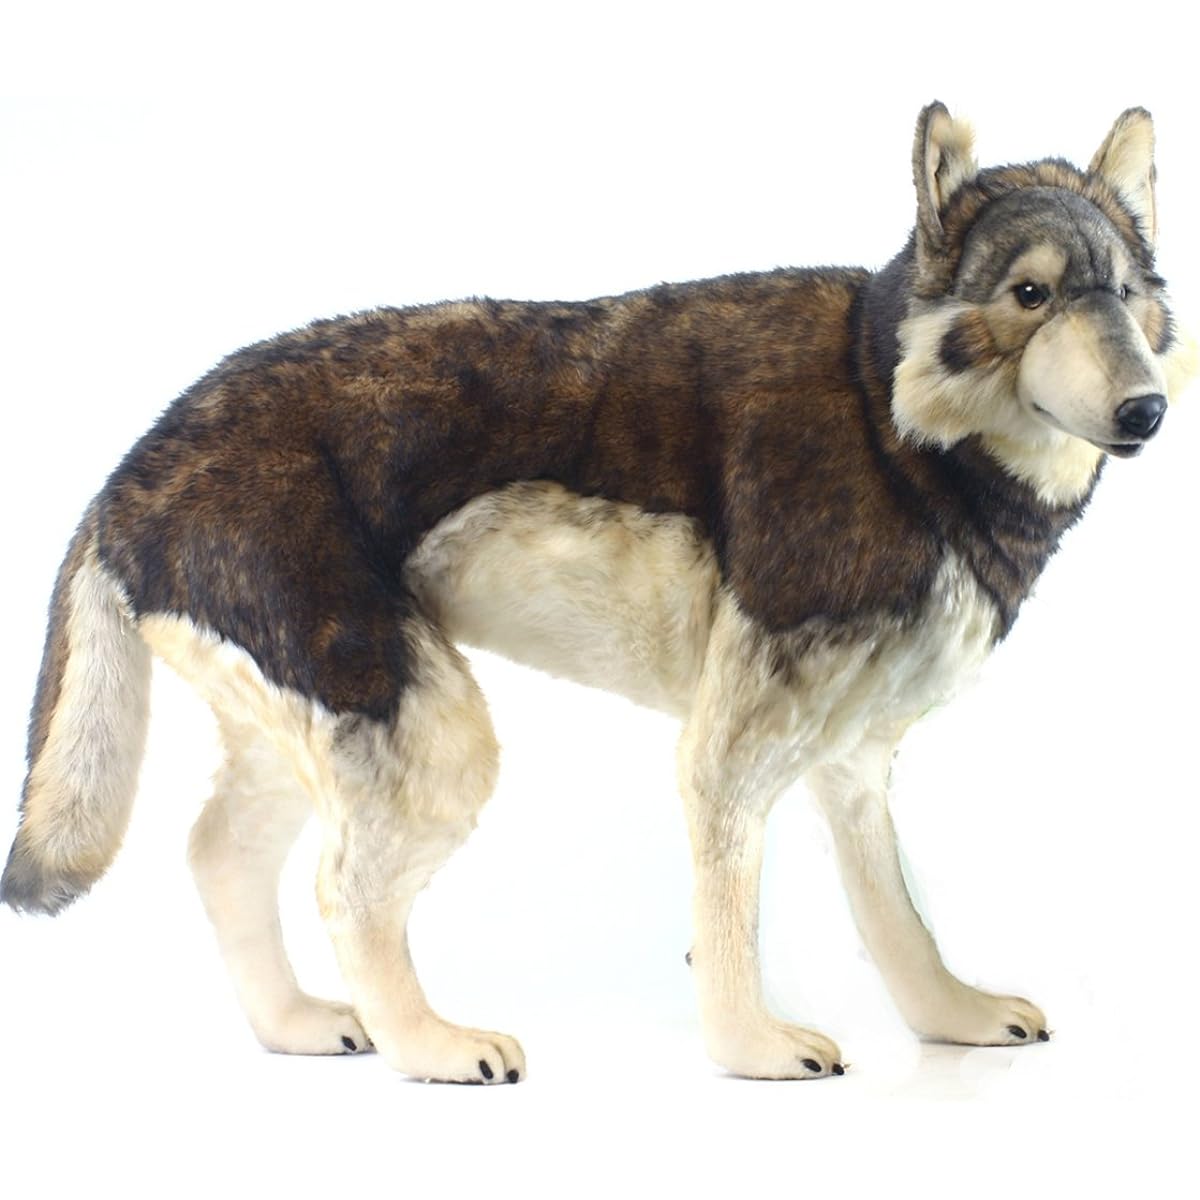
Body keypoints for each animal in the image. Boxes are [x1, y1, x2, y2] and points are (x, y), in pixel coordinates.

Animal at [2, 104, 1192, 1083]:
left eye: (1127, 296)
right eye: (1030, 295)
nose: (1146, 413)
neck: (887, 418)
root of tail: (125, 472)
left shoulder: (853, 764)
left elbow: (895, 916)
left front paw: (952, 1019)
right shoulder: (727, 755)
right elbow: (733, 920)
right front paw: (749, 1050)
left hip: (324, 729)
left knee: (216, 855)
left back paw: (300, 1025)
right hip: (430, 737)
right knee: (343, 890)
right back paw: (430, 1047)